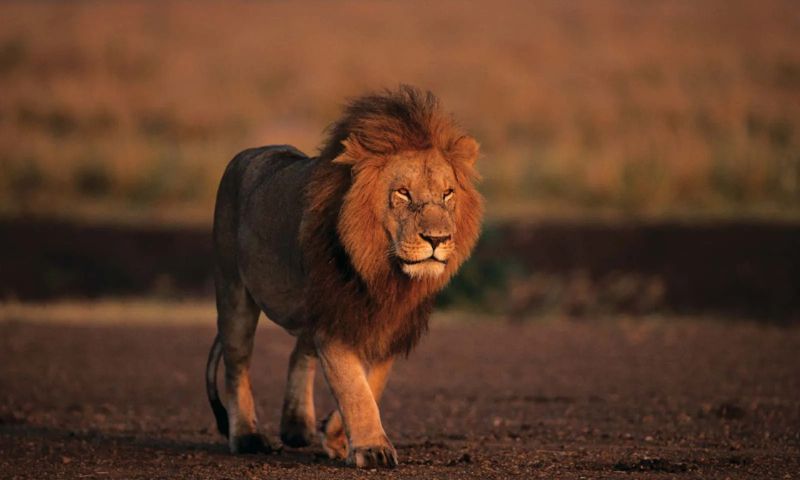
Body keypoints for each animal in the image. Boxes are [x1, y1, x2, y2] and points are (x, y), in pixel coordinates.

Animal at [205, 85, 483, 468]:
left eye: (447, 194)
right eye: (403, 193)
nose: (437, 239)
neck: (383, 271)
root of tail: (249, 153)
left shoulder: (388, 322)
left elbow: (371, 383)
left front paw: (336, 436)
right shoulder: (335, 315)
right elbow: (353, 386)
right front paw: (372, 448)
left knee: (299, 353)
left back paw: (297, 426)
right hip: (234, 291)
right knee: (238, 364)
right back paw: (247, 436)